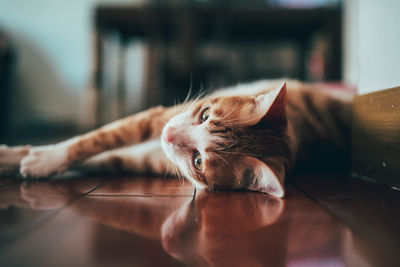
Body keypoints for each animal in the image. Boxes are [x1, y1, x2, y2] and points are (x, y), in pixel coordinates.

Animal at [0, 80, 352, 199]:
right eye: (206, 114)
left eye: (198, 161)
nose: (167, 135)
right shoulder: (161, 115)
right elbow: (95, 139)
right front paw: (26, 155)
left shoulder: (141, 156)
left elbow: (98, 151)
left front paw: (40, 162)